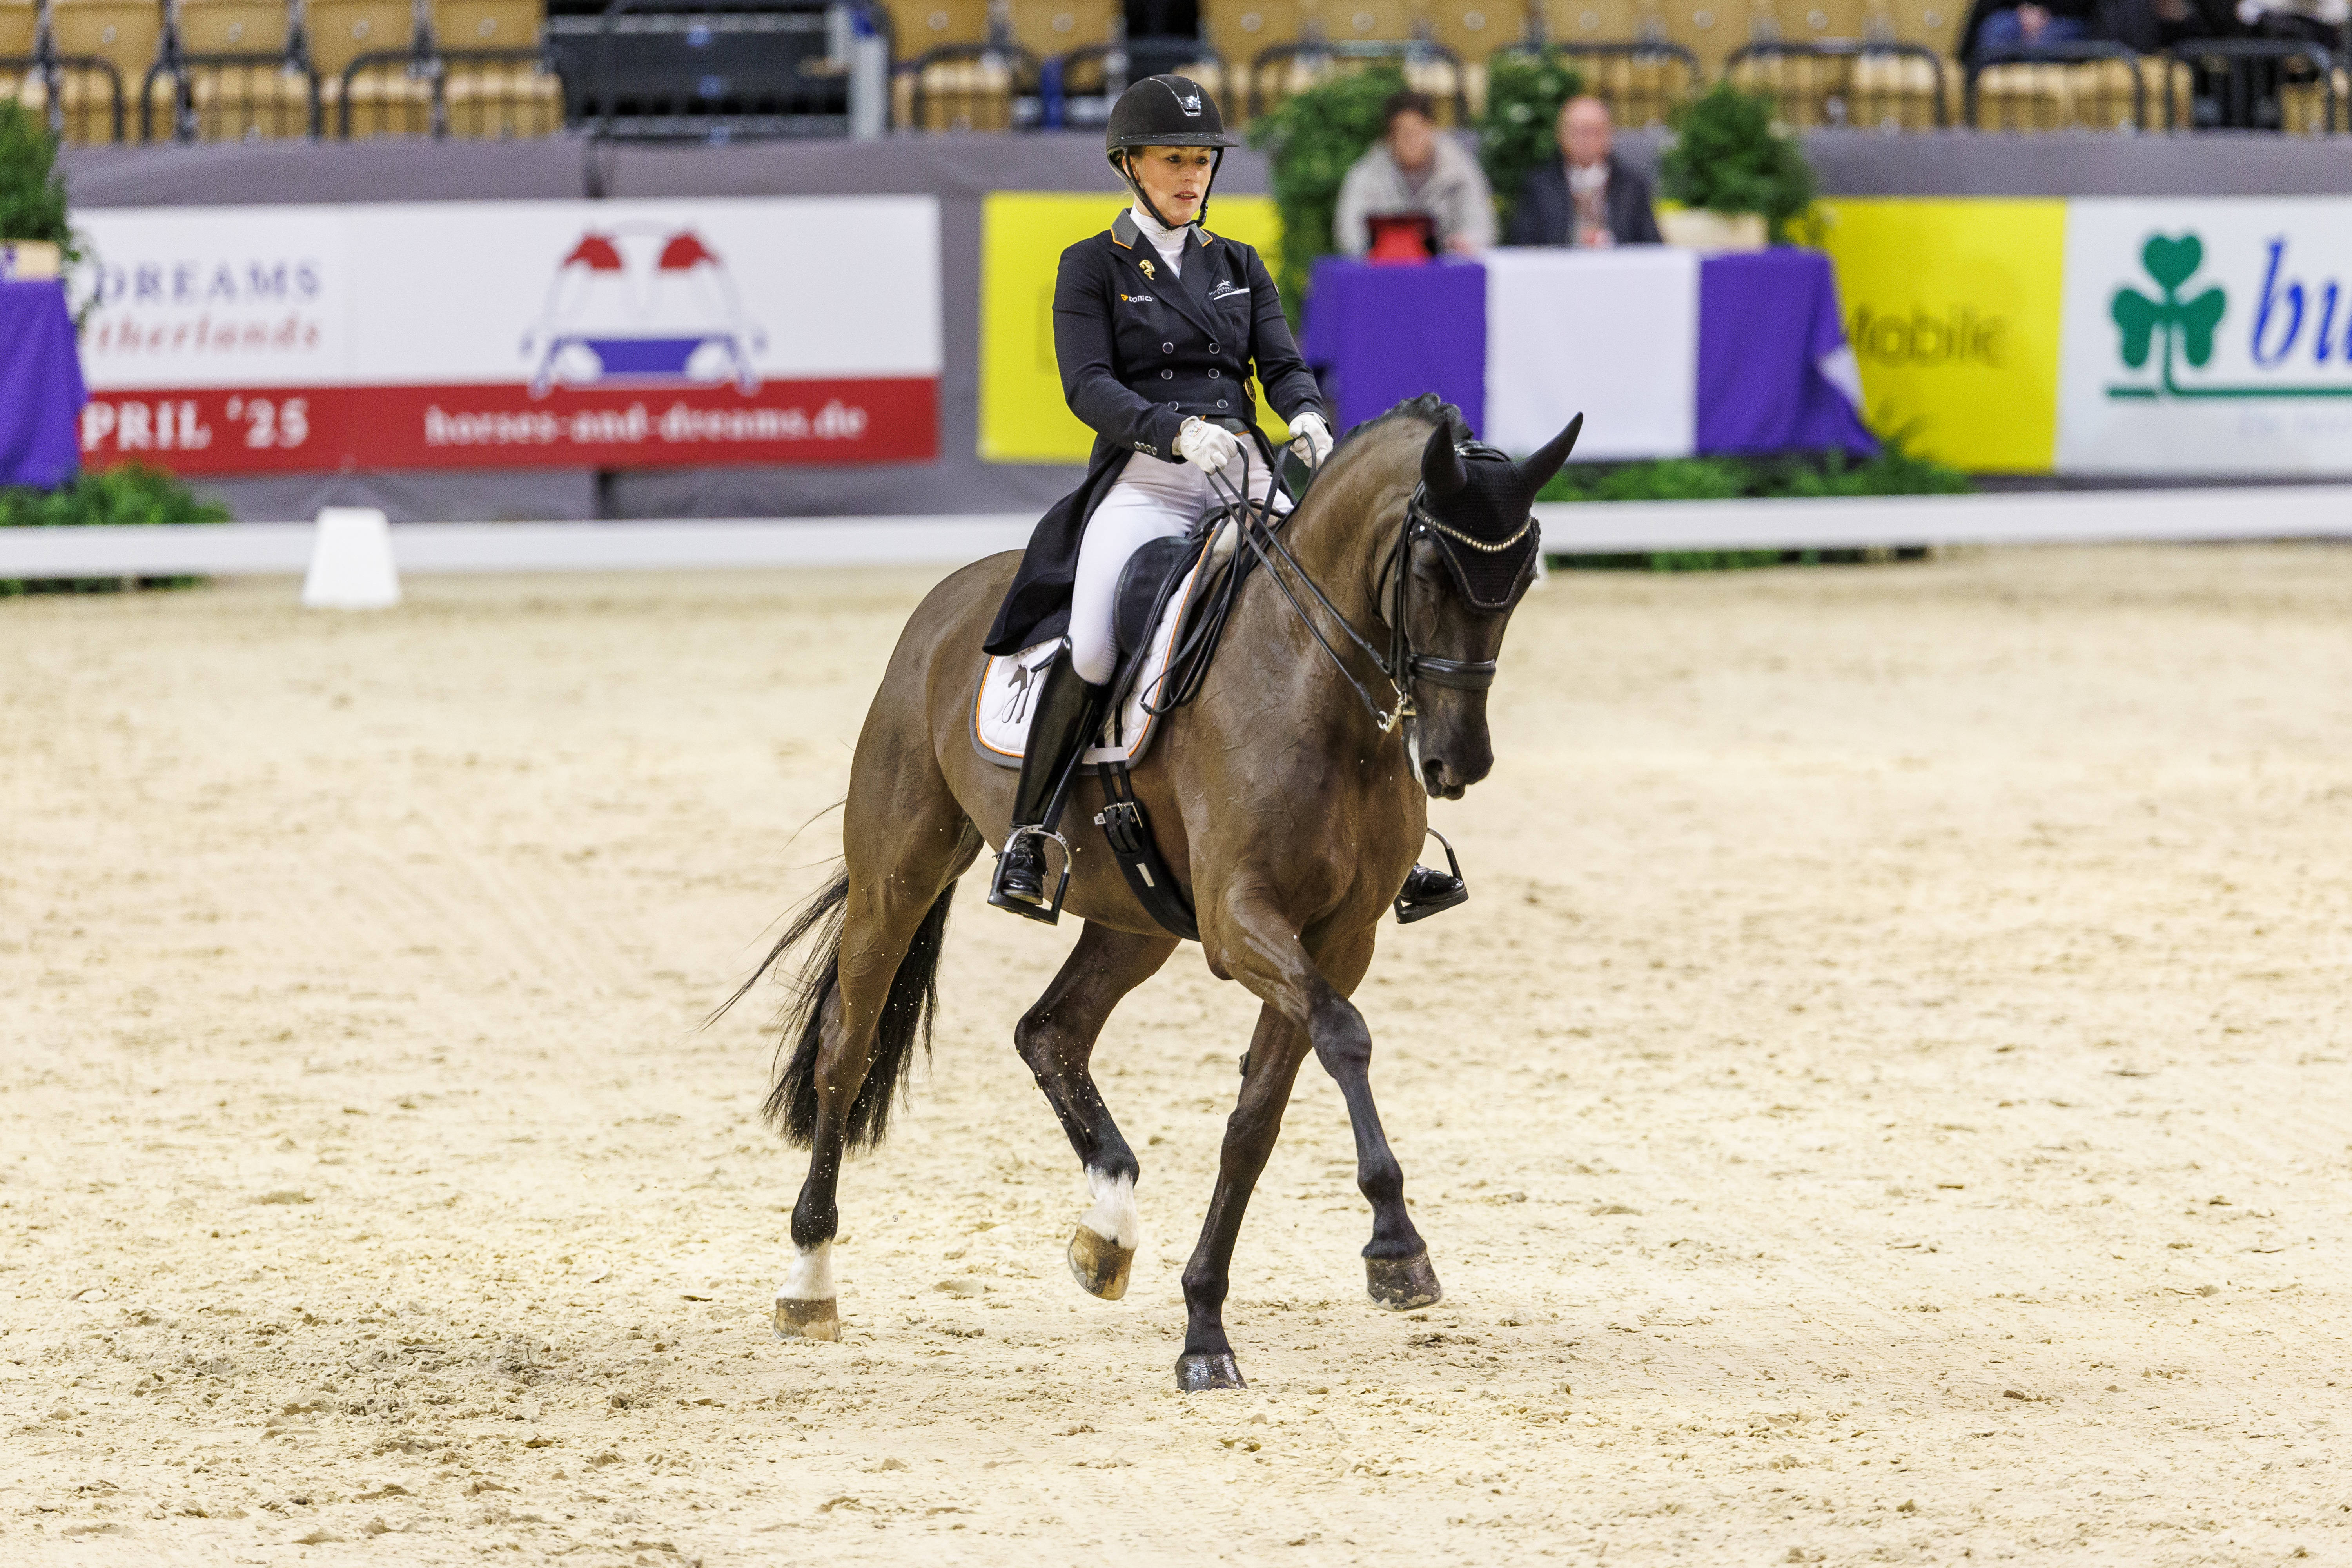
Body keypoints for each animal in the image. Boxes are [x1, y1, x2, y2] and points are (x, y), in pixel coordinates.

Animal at [734, 399, 1581, 1392]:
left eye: (1520, 577)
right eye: (1427, 570)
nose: (1457, 762)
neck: (1315, 682)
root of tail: (953, 598)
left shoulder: (1336, 937)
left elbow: (1255, 1121)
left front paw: (1205, 1332)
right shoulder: (1241, 920)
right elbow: (1345, 1037)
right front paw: (1396, 1246)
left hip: (1134, 914)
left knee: (1050, 1030)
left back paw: (1107, 1231)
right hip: (898, 871)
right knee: (847, 1047)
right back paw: (809, 1281)